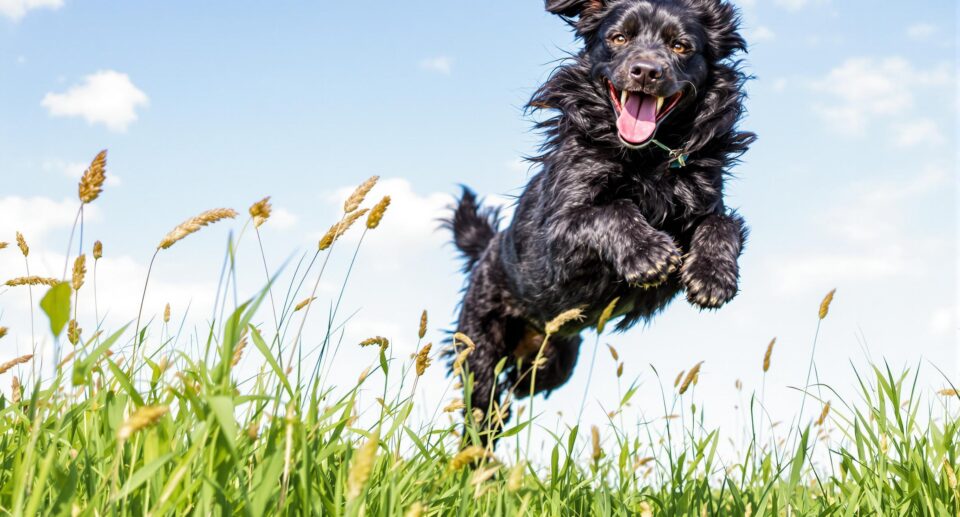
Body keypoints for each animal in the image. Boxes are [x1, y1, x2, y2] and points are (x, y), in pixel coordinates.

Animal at [446, 0, 752, 430]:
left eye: (680, 46)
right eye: (619, 37)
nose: (646, 71)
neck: (648, 158)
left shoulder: (708, 204)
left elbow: (722, 224)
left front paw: (712, 276)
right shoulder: (558, 234)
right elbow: (612, 211)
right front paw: (647, 254)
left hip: (555, 363)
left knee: (520, 387)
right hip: (479, 353)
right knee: (483, 413)